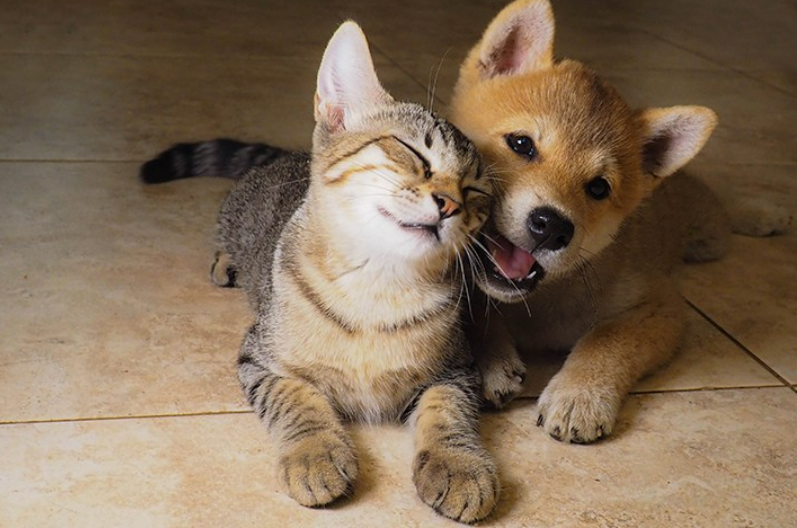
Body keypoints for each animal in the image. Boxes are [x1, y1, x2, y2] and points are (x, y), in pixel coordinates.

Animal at [140, 21, 494, 524]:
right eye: (410, 151)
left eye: (477, 191)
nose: (451, 204)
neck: (376, 287)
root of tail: (284, 156)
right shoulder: (259, 359)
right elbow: (297, 399)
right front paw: (315, 454)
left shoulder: (457, 369)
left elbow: (449, 411)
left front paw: (458, 464)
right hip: (237, 217)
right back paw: (227, 262)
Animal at [450, 0, 736, 444]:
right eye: (521, 144)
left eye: (599, 188)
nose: (552, 226)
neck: (538, 302)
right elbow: (477, 310)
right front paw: (490, 359)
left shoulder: (661, 306)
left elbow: (606, 340)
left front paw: (579, 395)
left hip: (710, 236)